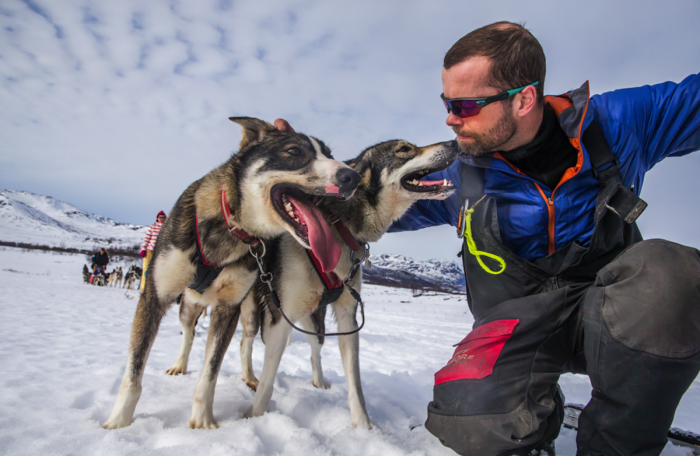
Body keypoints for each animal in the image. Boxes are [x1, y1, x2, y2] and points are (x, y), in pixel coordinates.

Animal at [104, 116, 360, 430]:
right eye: (293, 152)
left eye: (329, 154)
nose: (352, 177)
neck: (231, 226)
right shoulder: (153, 298)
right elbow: (134, 370)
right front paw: (118, 422)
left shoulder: (228, 308)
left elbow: (211, 371)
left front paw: (202, 420)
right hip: (187, 306)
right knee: (188, 334)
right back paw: (180, 365)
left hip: (249, 312)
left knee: (243, 343)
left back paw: (250, 378)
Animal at [174, 138, 460, 428]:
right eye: (403, 149)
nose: (453, 142)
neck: (337, 226)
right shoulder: (279, 318)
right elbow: (268, 380)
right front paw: (255, 416)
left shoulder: (347, 316)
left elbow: (355, 382)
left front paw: (363, 427)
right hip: (250, 311)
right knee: (229, 340)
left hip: (313, 318)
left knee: (313, 349)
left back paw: (316, 382)